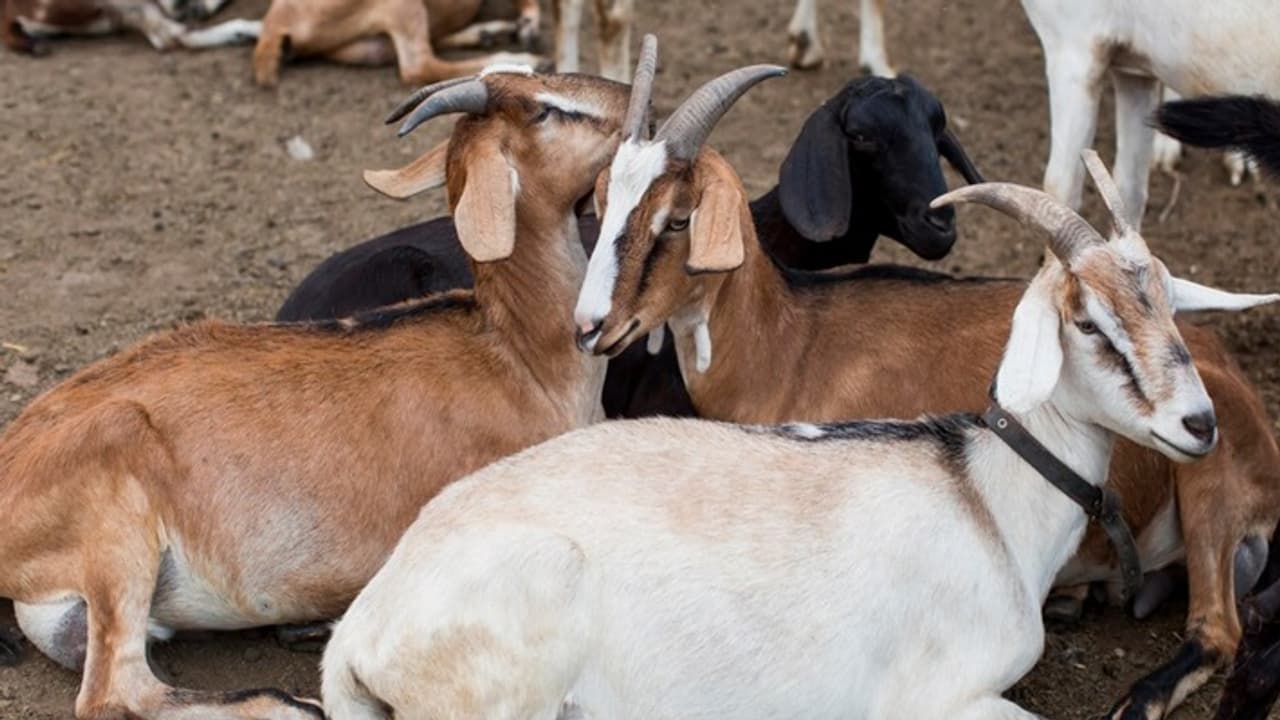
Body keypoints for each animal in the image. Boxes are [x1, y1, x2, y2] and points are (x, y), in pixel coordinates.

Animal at [0, 65, 634, 719]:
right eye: (544, 110)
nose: (629, 97)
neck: (518, 358)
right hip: (117, 518)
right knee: (113, 691)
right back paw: (289, 701)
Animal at [321, 148, 1276, 720]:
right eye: (1088, 322)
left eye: (1168, 306)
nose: (1198, 425)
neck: (987, 500)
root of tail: (366, 626)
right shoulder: (930, 698)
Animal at [573, 61, 1280, 720]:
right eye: (602, 203)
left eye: (678, 220)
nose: (590, 326)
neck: (789, 344)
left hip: (1209, 487)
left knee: (1218, 628)